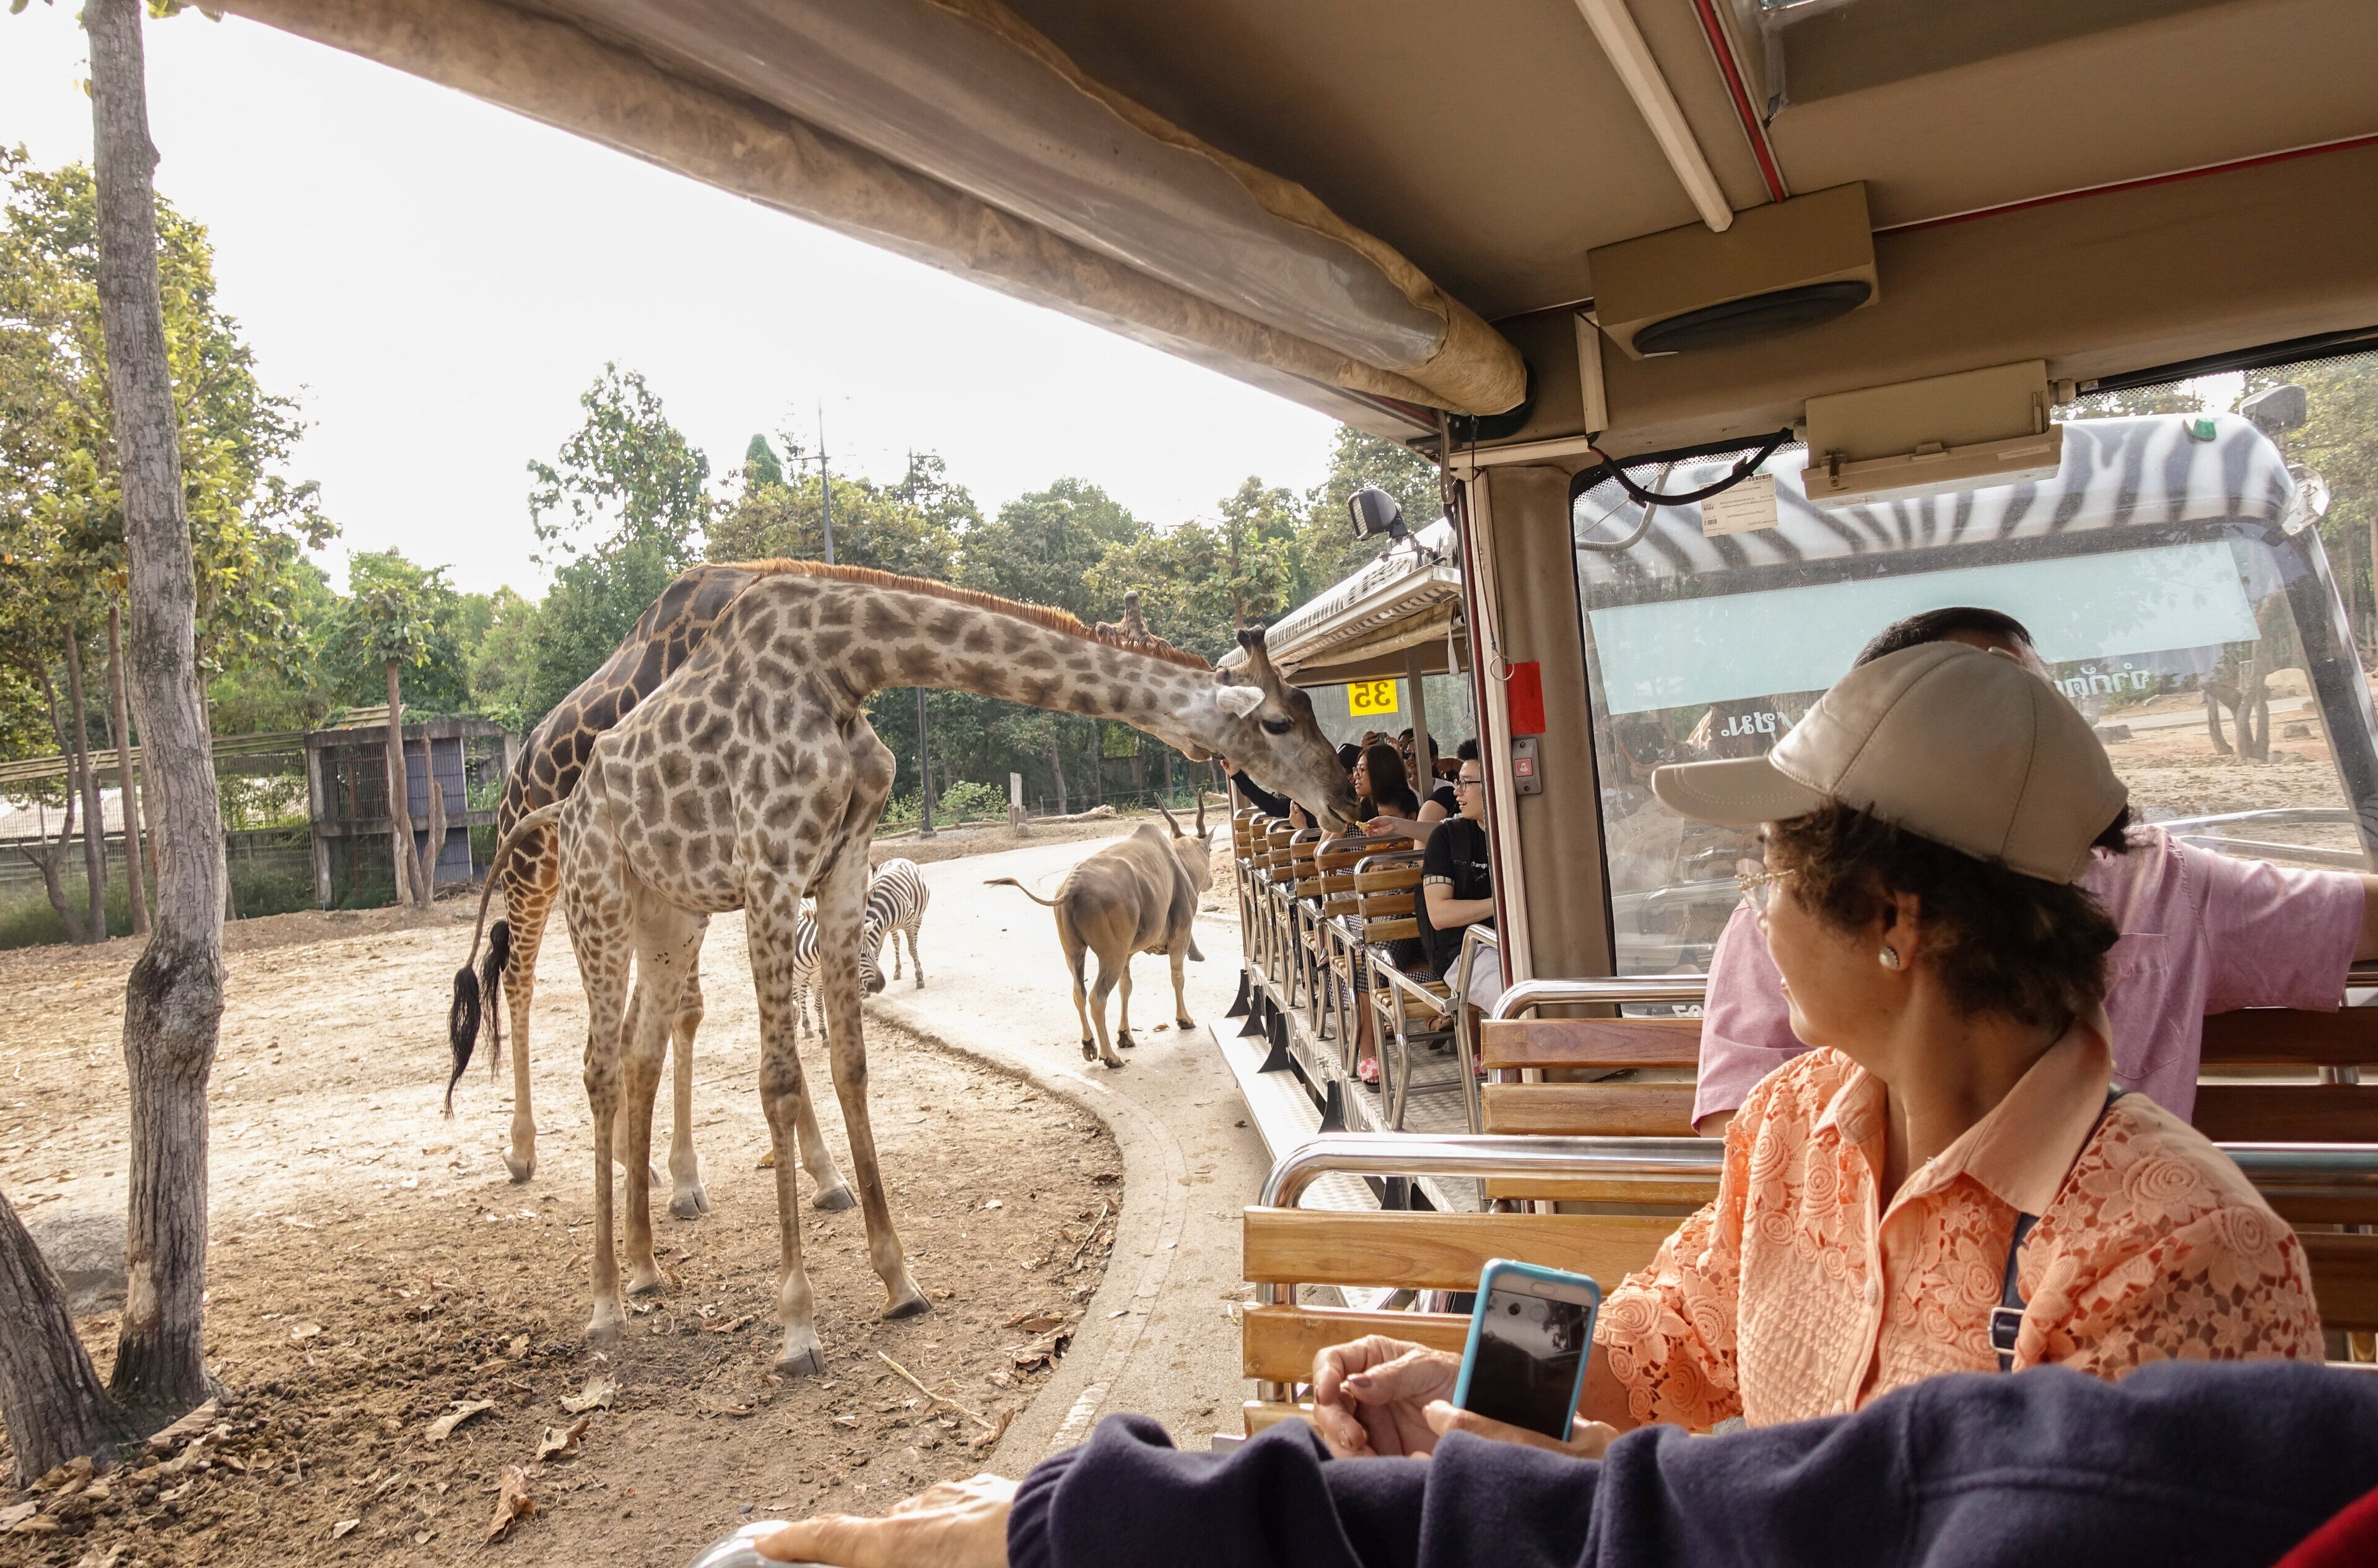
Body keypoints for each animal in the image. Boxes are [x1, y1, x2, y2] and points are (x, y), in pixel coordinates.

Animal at [866, 857, 931, 987]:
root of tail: (897, 858)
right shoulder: (882, 929)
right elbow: (877, 951)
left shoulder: (909, 924)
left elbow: (912, 948)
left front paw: (919, 977)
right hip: (892, 927)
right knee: (897, 941)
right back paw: (897, 970)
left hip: (918, 918)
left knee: (914, 941)